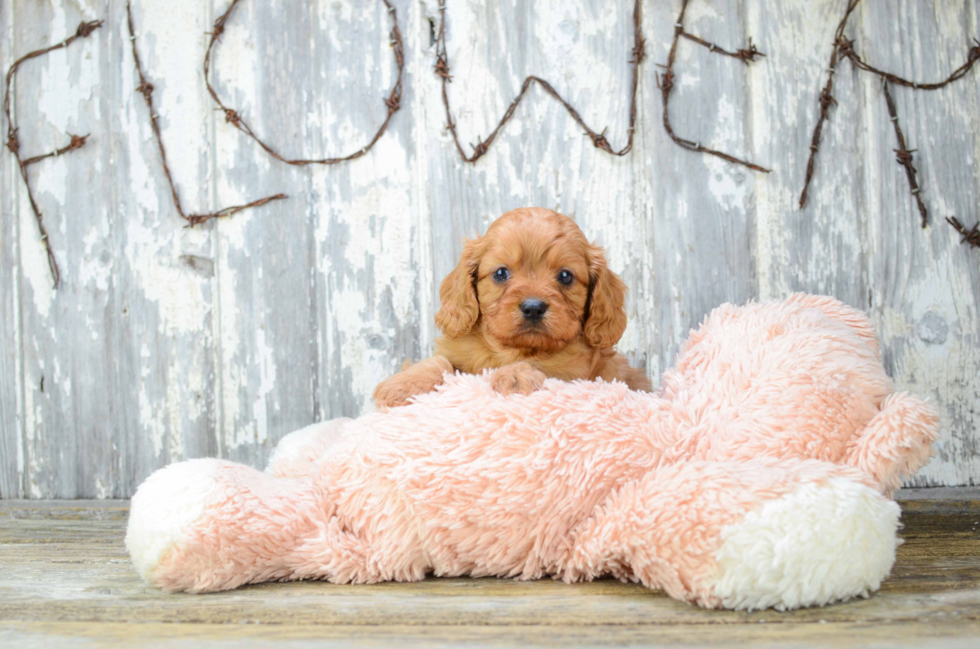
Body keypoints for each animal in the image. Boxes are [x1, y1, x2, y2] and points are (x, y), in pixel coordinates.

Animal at [376, 205, 652, 408]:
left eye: (565, 276)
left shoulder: (576, 373)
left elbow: (541, 365)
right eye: (500, 273)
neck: (510, 350)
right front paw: (400, 386)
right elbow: (440, 362)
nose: (533, 307)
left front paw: (516, 376)